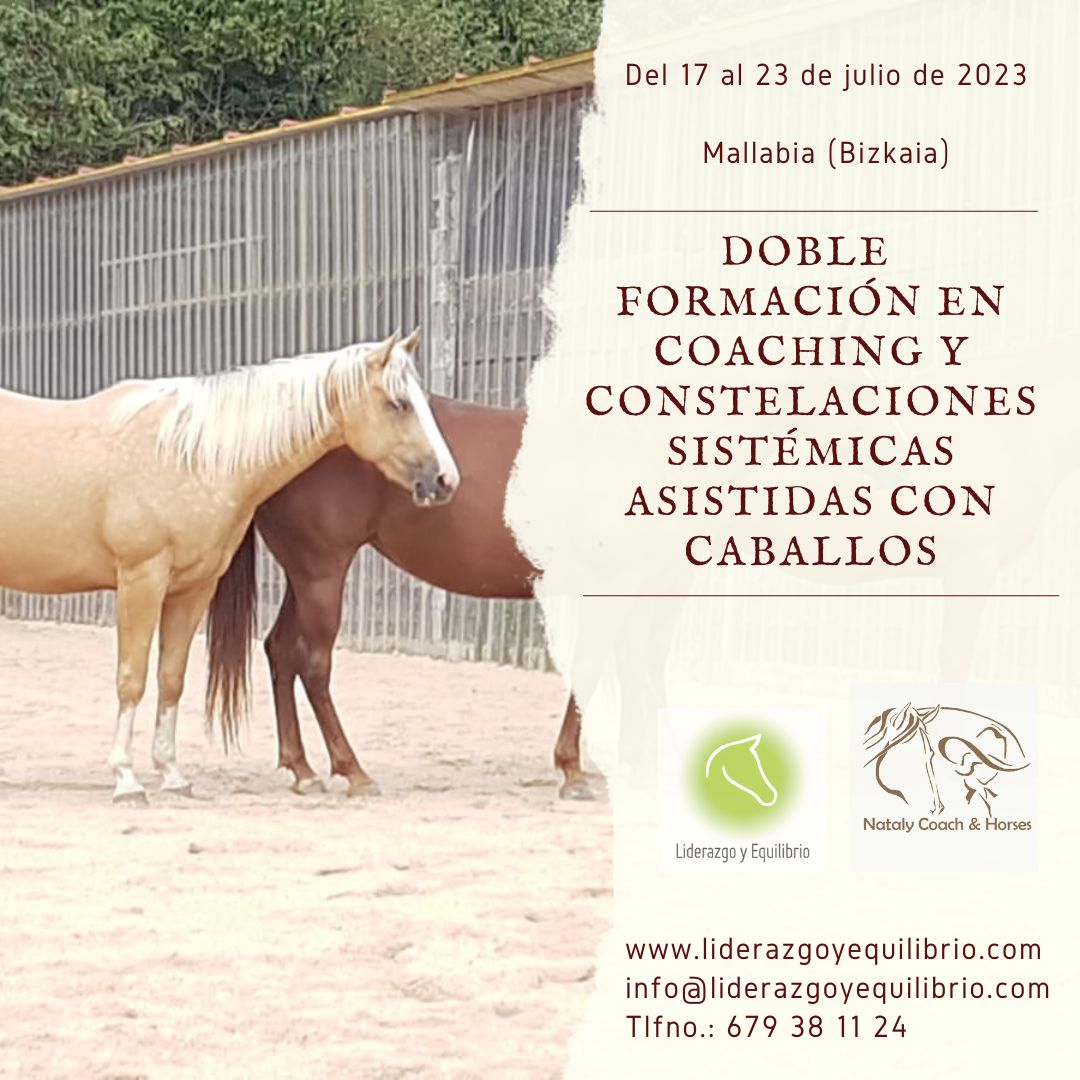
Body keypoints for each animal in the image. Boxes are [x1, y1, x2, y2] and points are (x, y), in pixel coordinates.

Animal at [0, 330, 459, 802]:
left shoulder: (192, 589)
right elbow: (132, 677)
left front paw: (172, 774)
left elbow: (171, 677)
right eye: (398, 403)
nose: (445, 480)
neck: (186, 454)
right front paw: (126, 780)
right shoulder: (141, 579)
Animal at [204, 398, 595, 800]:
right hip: (321, 574)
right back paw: (354, 772)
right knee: (314, 667)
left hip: (304, 578)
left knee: (279, 650)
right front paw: (574, 772)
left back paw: (303, 770)